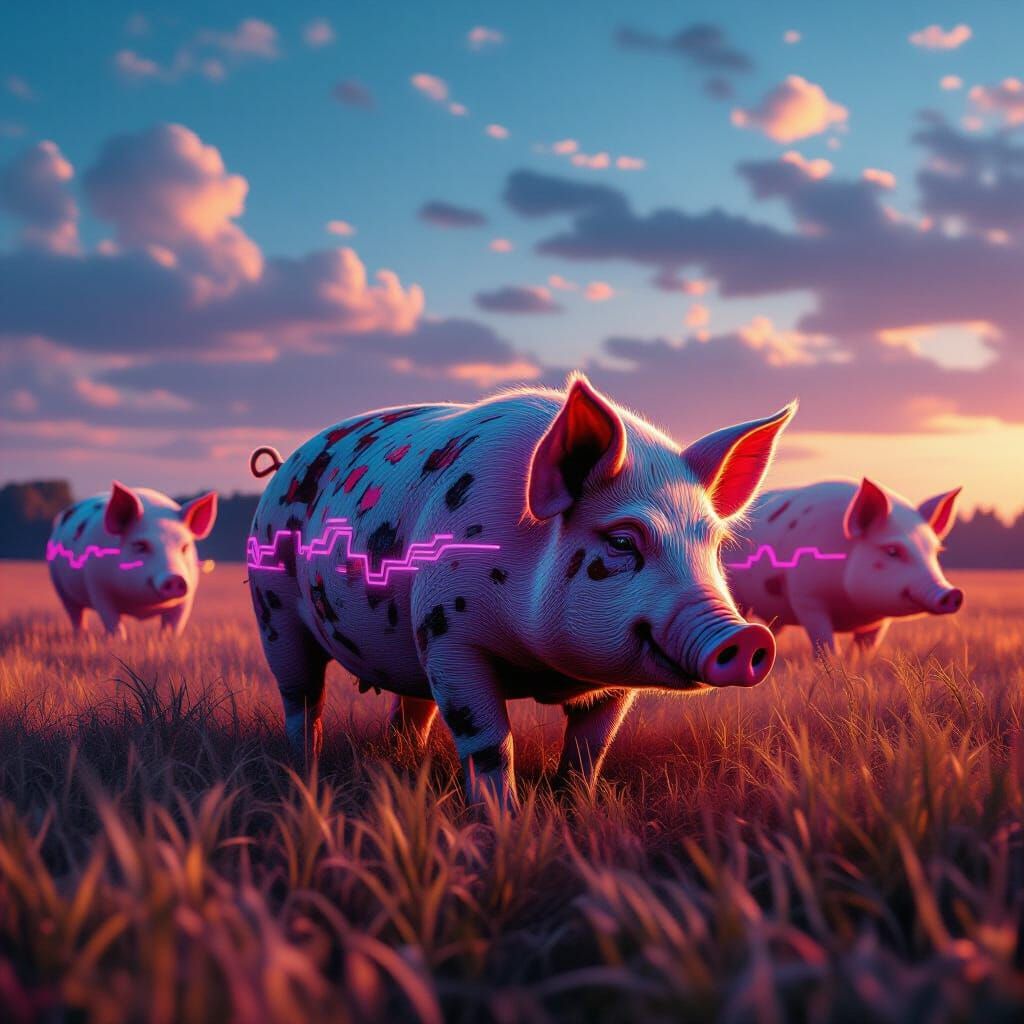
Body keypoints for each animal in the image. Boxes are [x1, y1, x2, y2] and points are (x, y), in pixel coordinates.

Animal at [47, 482, 218, 637]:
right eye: (141, 545)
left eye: (184, 547)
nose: (176, 578)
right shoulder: (97, 586)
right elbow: (112, 622)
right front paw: (117, 641)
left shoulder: (187, 597)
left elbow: (174, 625)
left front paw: (168, 641)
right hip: (60, 588)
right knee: (76, 615)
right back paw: (80, 636)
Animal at [246, 375, 796, 805]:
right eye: (622, 540)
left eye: (715, 544)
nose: (749, 636)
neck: (543, 672)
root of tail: (281, 466)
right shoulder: (449, 637)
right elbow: (489, 743)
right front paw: (503, 822)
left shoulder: (615, 681)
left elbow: (591, 749)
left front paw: (577, 809)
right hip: (273, 609)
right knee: (302, 698)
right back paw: (305, 770)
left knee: (411, 710)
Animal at [726, 478, 963, 656]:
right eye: (892, 550)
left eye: (935, 552)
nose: (953, 593)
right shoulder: (807, 598)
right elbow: (827, 647)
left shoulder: (880, 621)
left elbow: (864, 652)